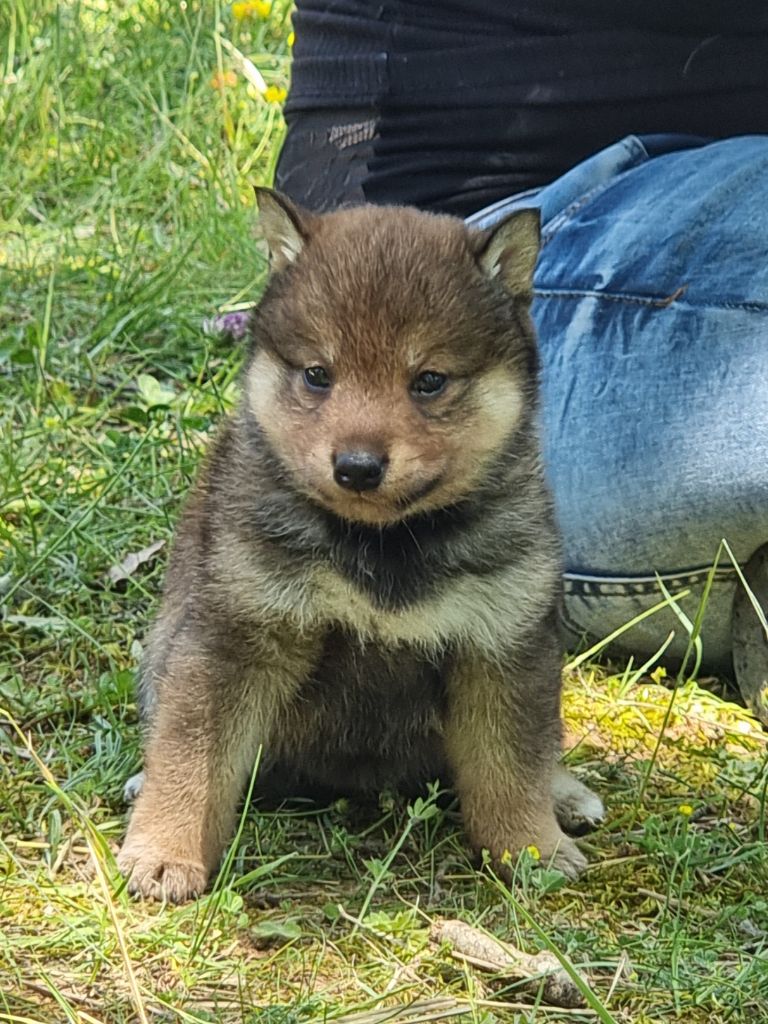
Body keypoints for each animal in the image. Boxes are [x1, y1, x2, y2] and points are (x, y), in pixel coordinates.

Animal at [117, 188, 606, 901]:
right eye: (318, 375)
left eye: (429, 381)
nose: (356, 467)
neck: (384, 545)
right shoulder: (234, 637)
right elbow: (191, 759)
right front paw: (163, 851)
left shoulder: (502, 646)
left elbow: (512, 765)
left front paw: (530, 846)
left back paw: (565, 795)